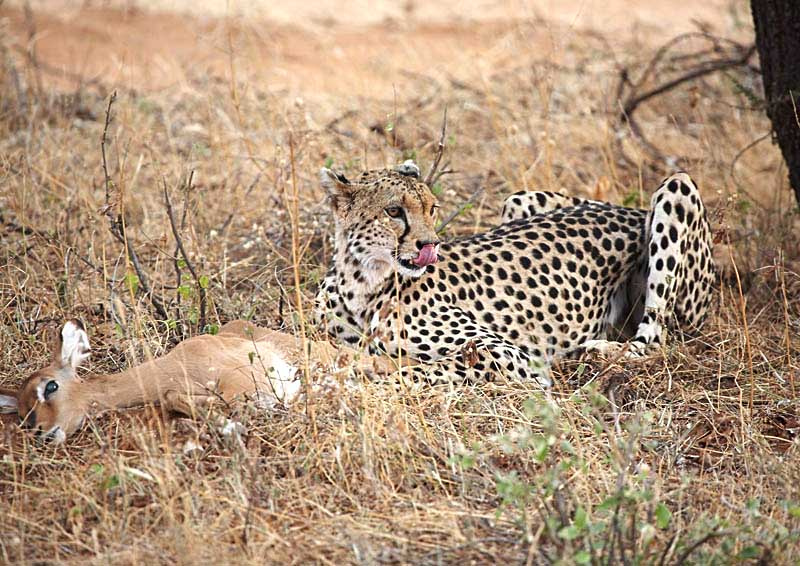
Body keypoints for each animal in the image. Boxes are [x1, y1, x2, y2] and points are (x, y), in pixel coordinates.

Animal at [314, 160, 715, 386]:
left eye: (432, 208)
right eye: (394, 211)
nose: (431, 246)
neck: (362, 282)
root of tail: (624, 209)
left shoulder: (511, 356)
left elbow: (422, 369)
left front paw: (361, 379)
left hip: (676, 186)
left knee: (655, 340)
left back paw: (593, 352)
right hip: (517, 199)